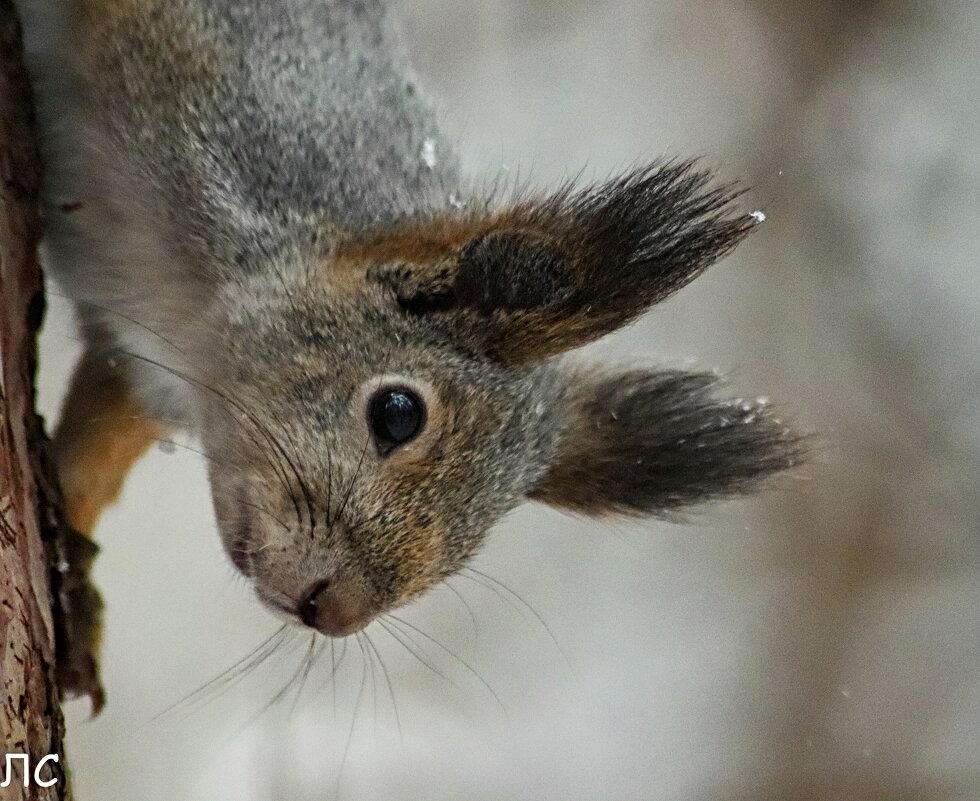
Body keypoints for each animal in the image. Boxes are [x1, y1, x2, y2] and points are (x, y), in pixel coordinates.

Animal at [15, 0, 804, 712]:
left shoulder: (141, 365)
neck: (189, 302)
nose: (331, 609)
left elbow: (85, 464)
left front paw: (74, 581)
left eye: (496, 514)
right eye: (397, 412)